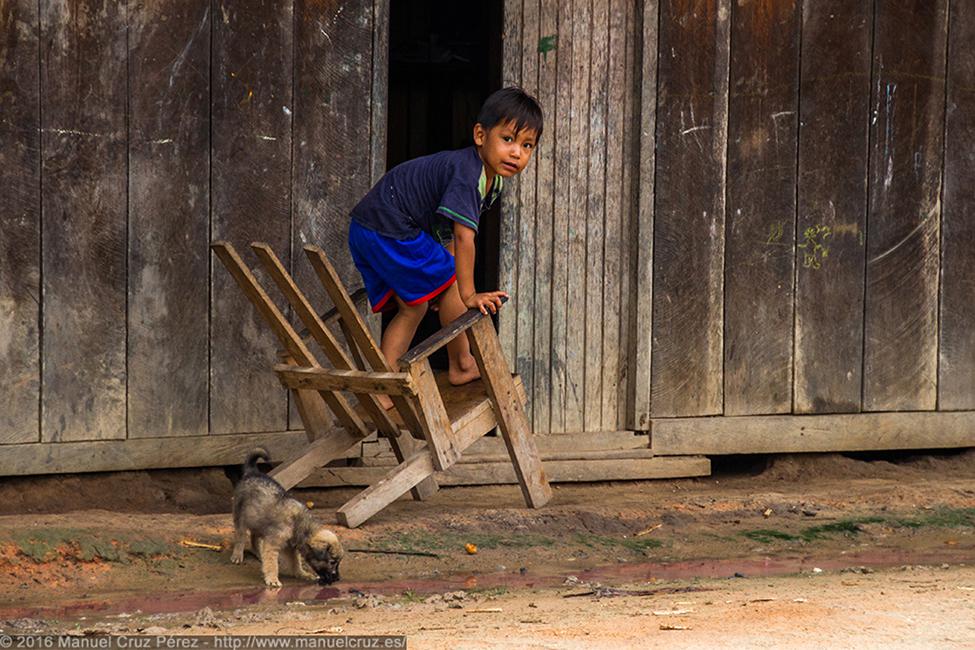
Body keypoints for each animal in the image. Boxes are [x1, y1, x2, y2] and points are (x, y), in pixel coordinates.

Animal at [232, 448, 346, 584]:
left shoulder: (291, 546)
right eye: (332, 562)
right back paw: (237, 555)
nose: (338, 578)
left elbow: (295, 561)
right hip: (240, 516)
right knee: (240, 536)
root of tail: (252, 473)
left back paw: (258, 553)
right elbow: (272, 563)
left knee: (254, 536)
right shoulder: (273, 544)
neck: (298, 524)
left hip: (257, 520)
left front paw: (302, 573)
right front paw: (272, 579)